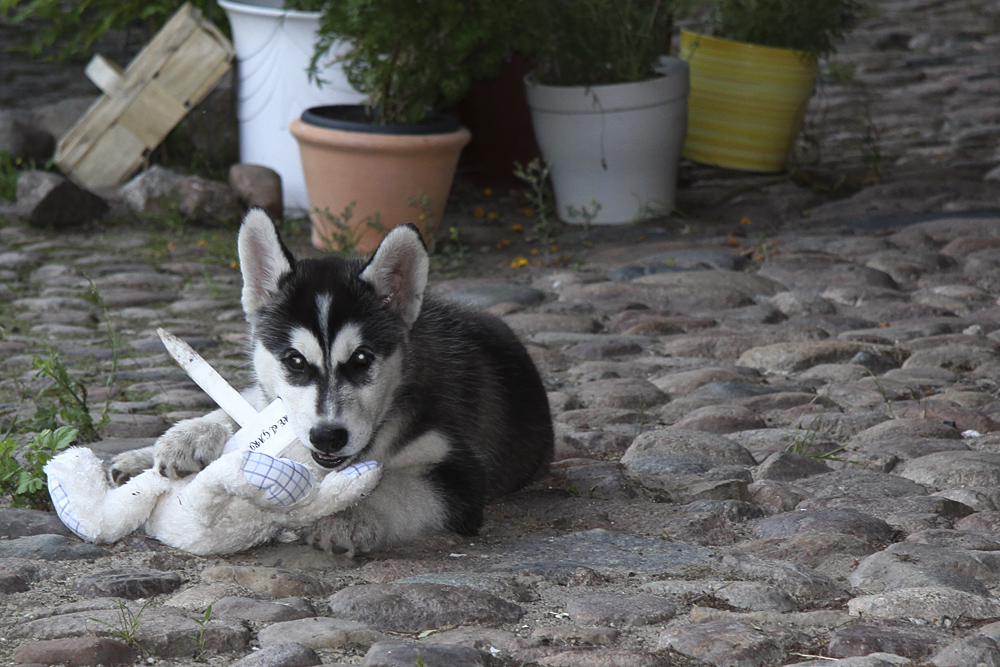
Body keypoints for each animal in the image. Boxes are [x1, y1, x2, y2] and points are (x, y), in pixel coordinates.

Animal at [115, 209, 564, 552]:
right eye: (294, 360)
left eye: (362, 359)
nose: (328, 437)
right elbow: (250, 414)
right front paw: (189, 436)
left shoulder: (461, 475)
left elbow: (396, 486)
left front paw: (348, 515)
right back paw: (146, 453)